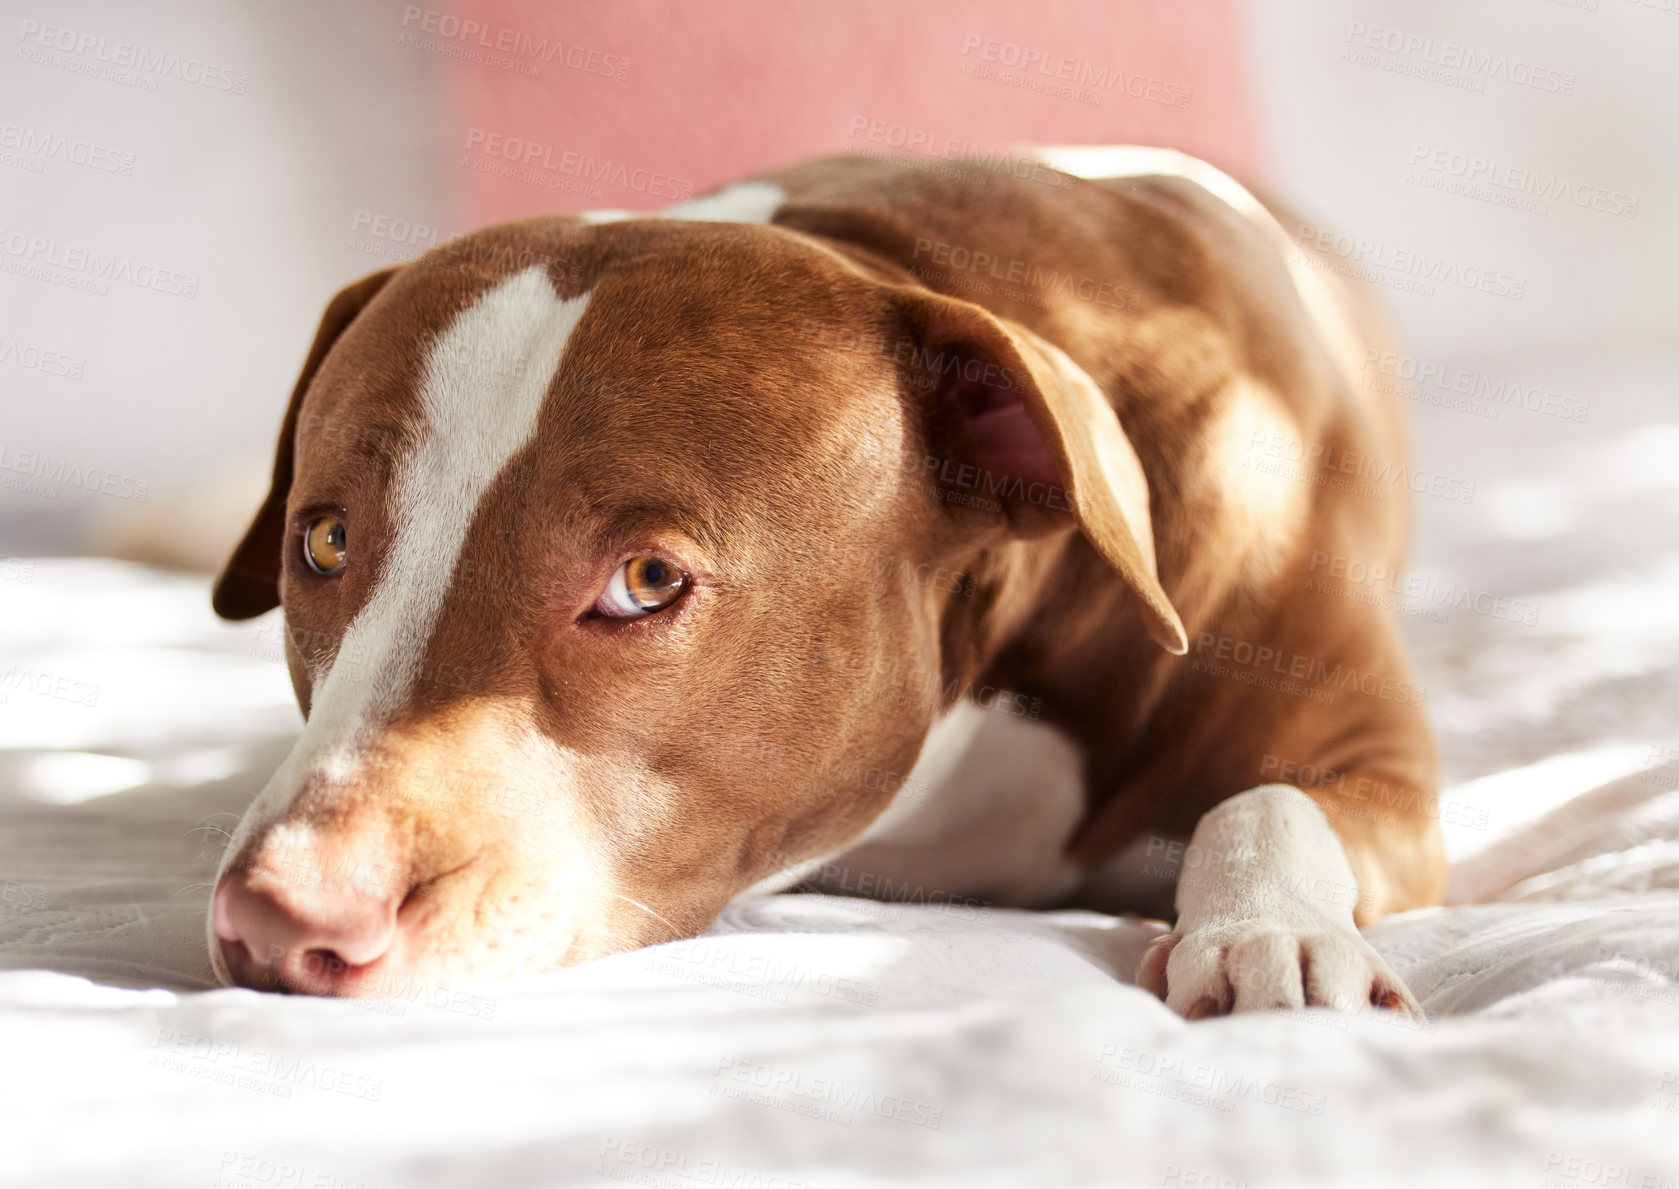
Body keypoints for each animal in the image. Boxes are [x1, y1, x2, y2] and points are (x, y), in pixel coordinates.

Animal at [206, 148, 1443, 1014]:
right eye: (325, 542)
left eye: (645, 580)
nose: (279, 914)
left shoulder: (1374, 758)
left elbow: (1270, 797)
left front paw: (1267, 931)